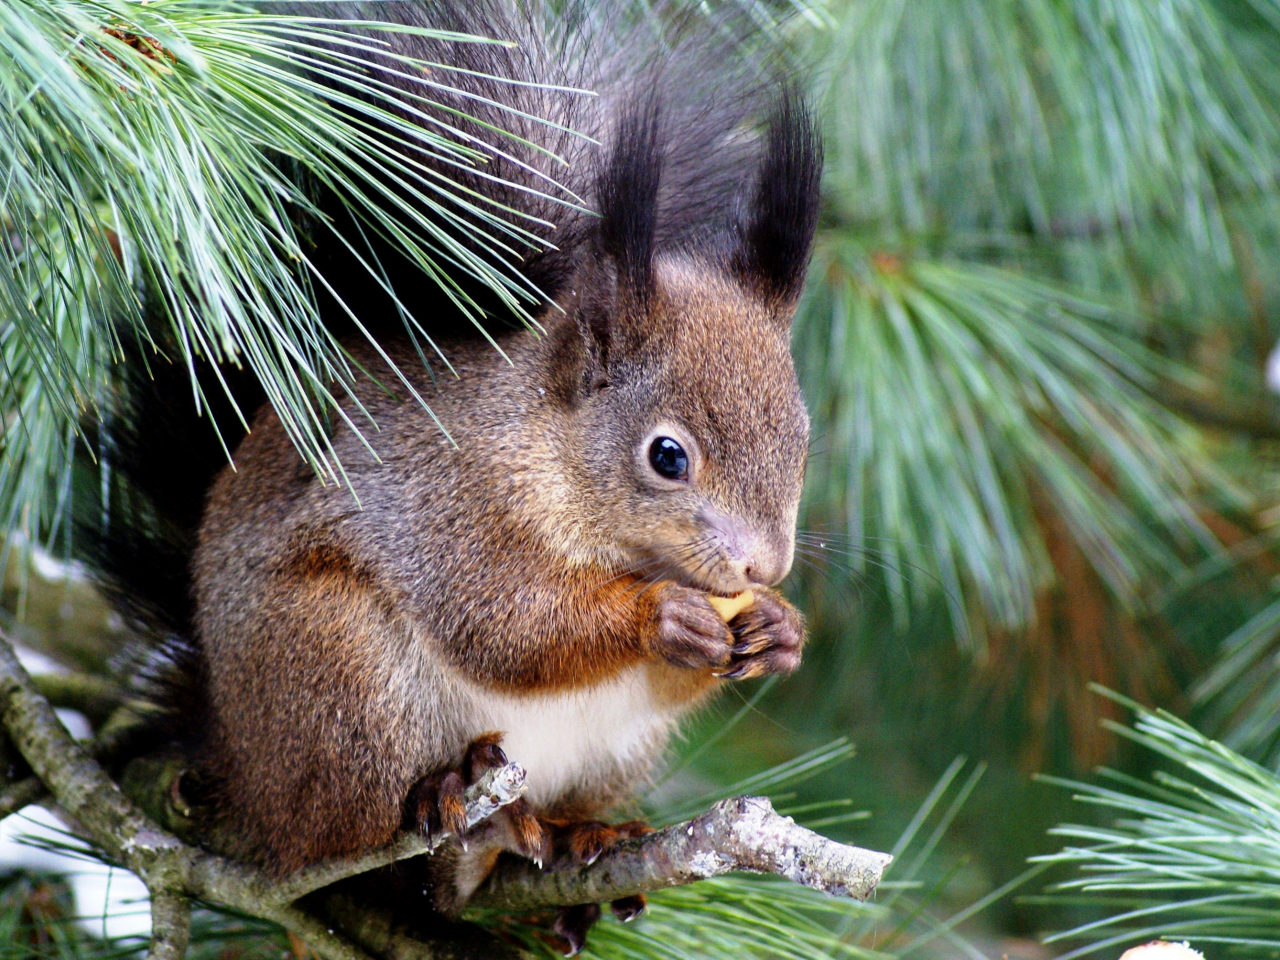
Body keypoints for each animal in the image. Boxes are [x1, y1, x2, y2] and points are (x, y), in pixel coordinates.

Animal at [77, 0, 819, 957]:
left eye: (803, 438)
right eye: (667, 456)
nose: (766, 567)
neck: (546, 451)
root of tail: (232, 755)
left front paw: (778, 630)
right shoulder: (449, 505)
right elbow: (504, 625)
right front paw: (661, 616)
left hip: (615, 751)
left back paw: (578, 841)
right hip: (339, 675)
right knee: (345, 834)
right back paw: (455, 821)